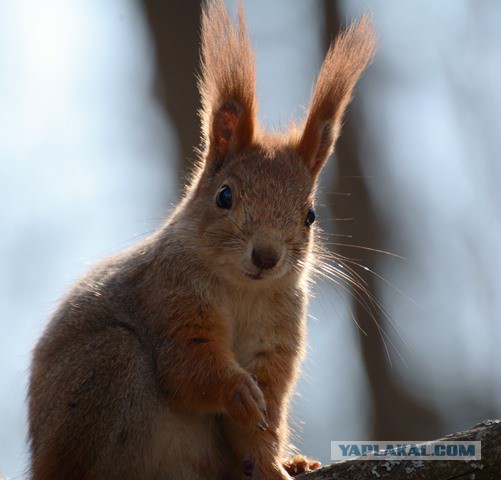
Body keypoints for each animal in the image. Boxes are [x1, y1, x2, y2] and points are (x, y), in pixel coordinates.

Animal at [25, 1, 374, 478]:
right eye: (224, 196)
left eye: (310, 215)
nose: (266, 256)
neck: (243, 290)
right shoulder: (169, 297)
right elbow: (188, 368)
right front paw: (238, 391)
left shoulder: (277, 341)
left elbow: (261, 424)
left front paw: (273, 465)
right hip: (106, 368)